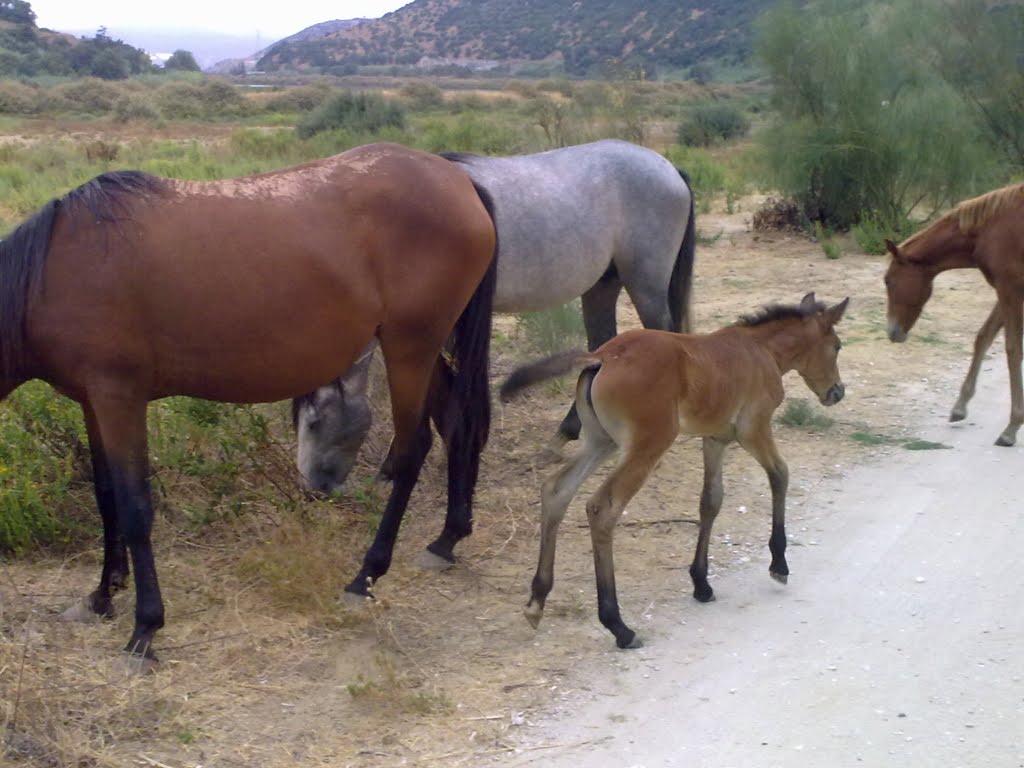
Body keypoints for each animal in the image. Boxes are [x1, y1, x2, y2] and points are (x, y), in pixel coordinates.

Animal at [0, 144, 495, 663]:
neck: (53, 274)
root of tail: (457, 179)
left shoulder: (119, 398)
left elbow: (135, 508)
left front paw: (145, 627)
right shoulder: (92, 401)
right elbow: (105, 495)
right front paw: (101, 596)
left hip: (410, 346)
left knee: (413, 446)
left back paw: (365, 576)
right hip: (423, 348)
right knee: (455, 423)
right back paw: (446, 540)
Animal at [294, 139, 696, 495]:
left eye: (313, 422)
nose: (316, 487)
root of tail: (668, 167)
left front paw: (396, 468)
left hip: (644, 282)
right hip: (602, 285)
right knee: (599, 346)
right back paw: (564, 436)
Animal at [497, 294, 847, 651]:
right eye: (837, 346)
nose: (837, 392)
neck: (760, 350)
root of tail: (602, 356)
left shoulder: (716, 438)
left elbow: (711, 501)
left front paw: (701, 583)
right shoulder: (754, 429)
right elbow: (780, 474)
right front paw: (779, 564)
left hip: (601, 441)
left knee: (557, 489)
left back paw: (537, 601)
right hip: (648, 444)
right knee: (602, 508)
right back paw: (618, 626)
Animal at [884, 182, 1019, 444]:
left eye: (887, 280)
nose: (892, 331)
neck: (991, 228)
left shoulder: (1010, 290)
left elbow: (1012, 350)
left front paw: (1012, 427)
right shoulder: (1006, 291)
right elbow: (983, 338)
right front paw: (960, 406)